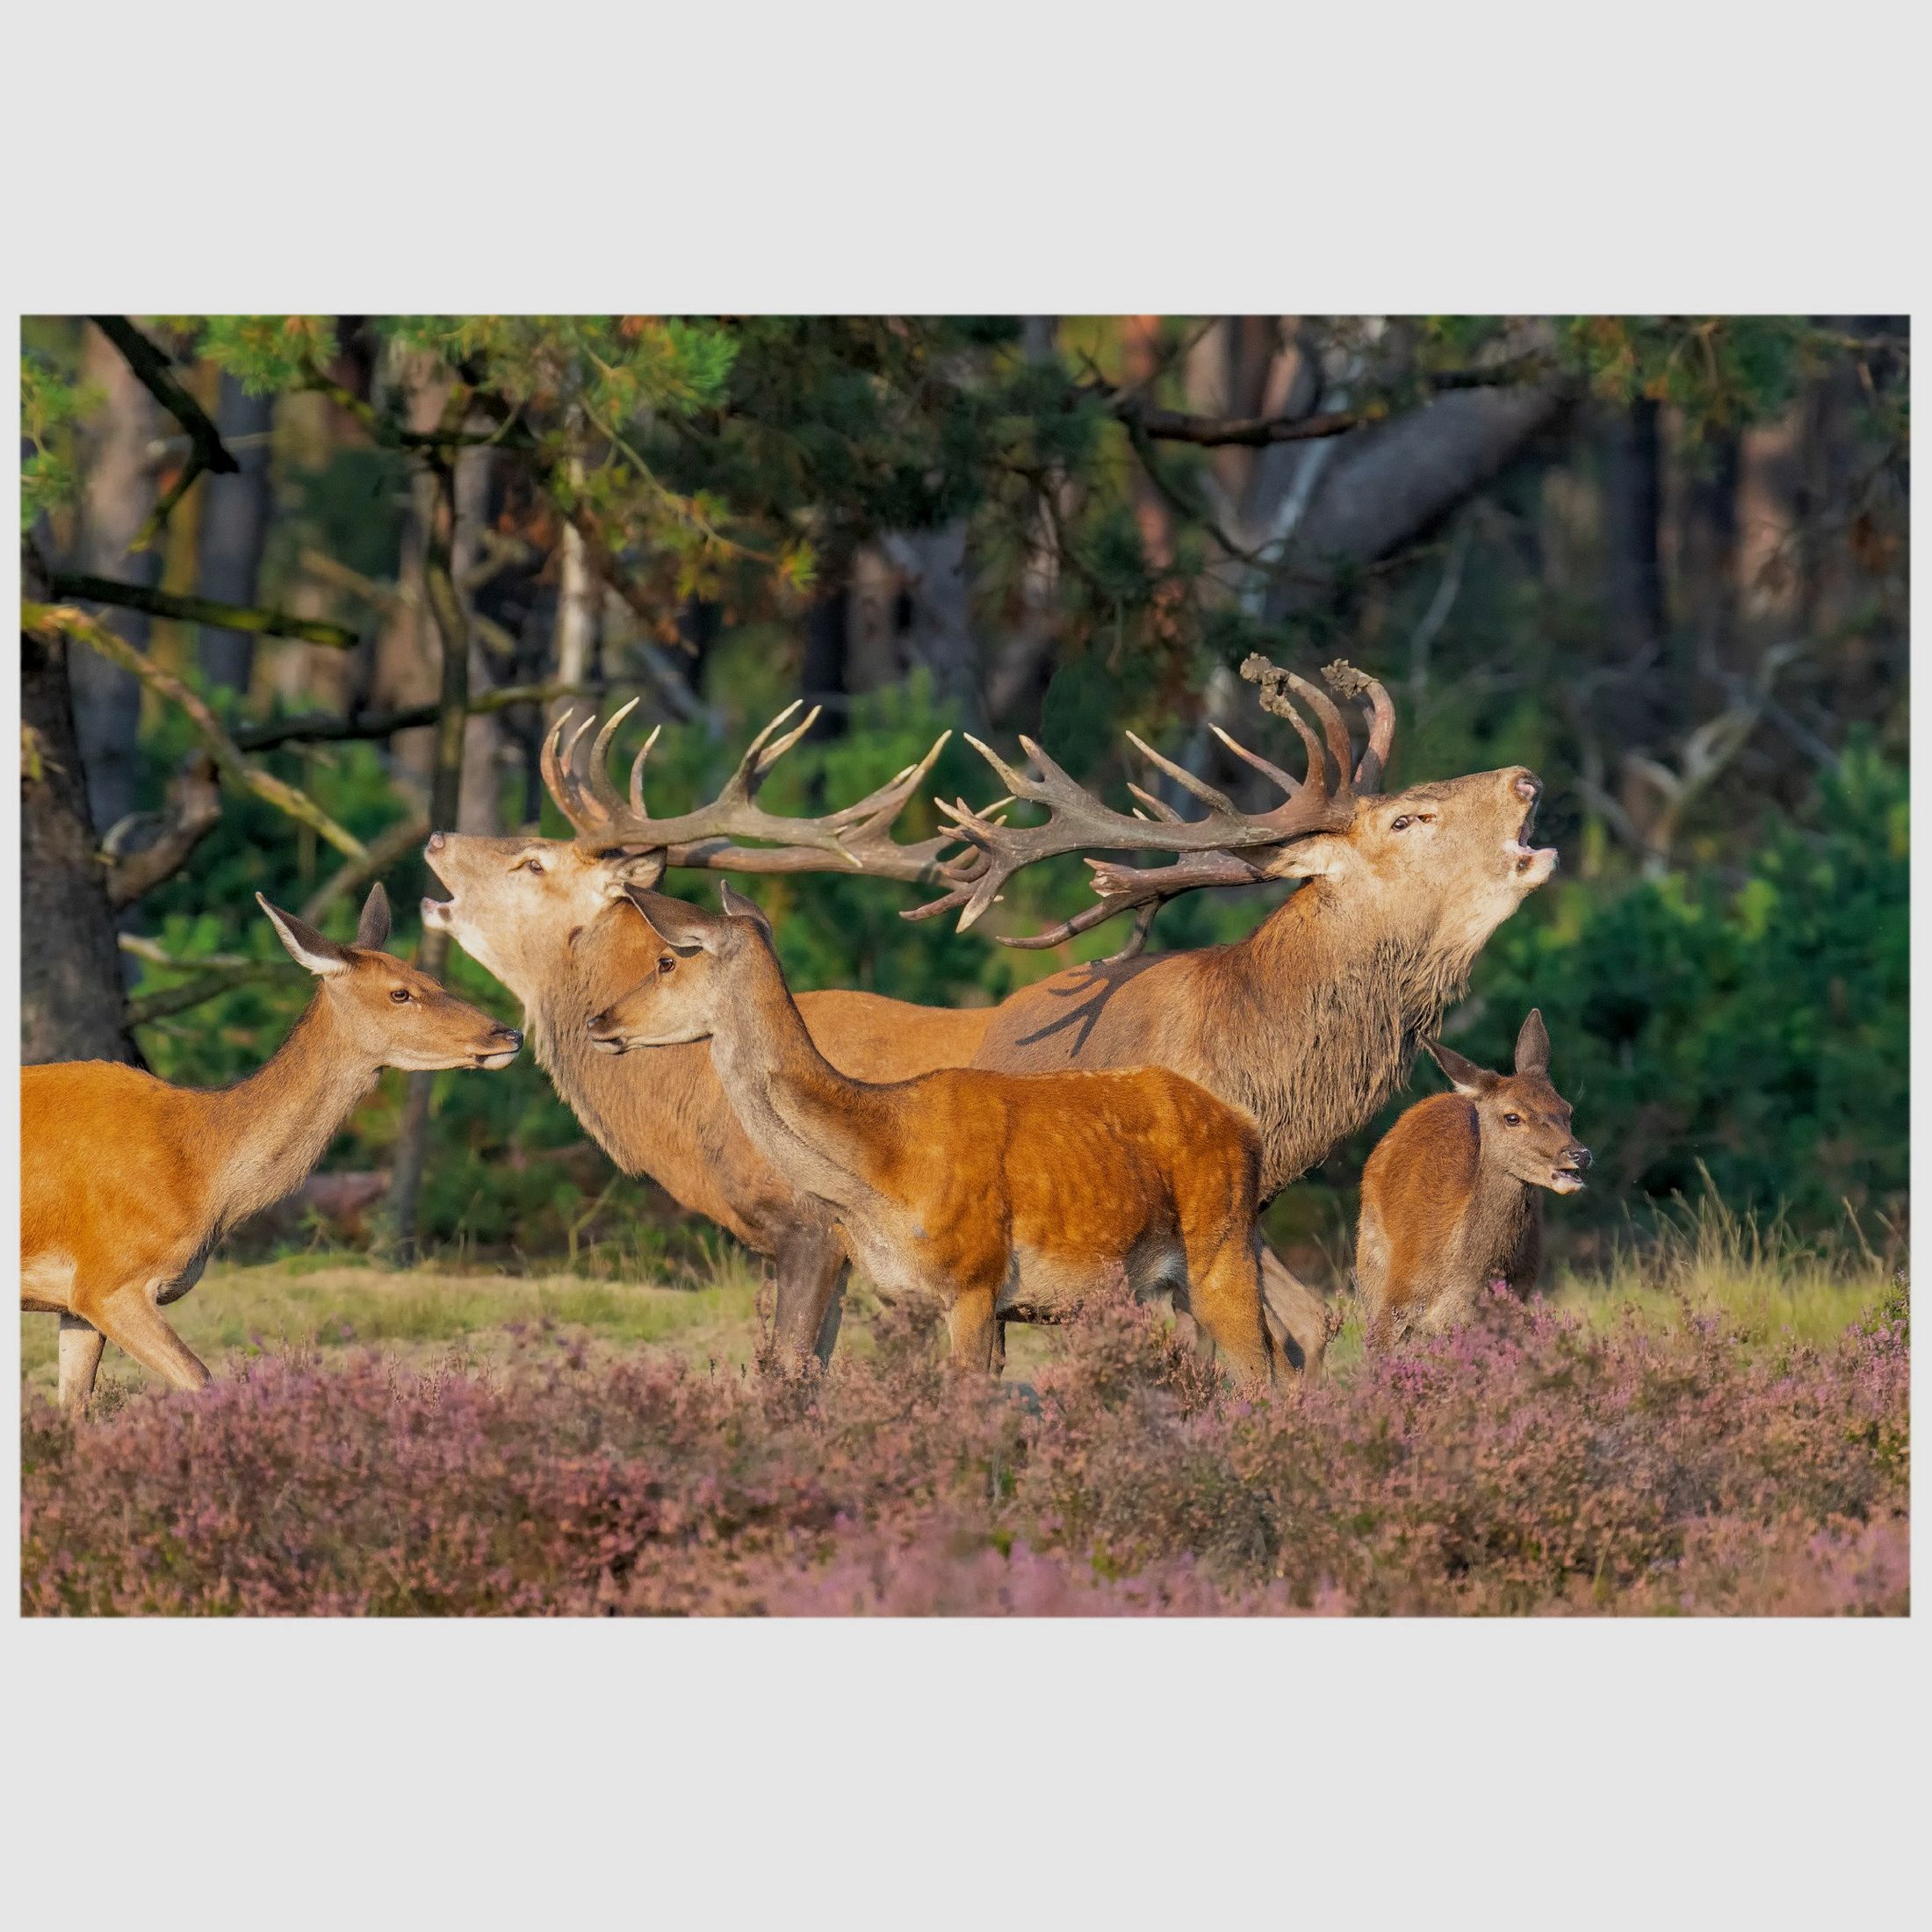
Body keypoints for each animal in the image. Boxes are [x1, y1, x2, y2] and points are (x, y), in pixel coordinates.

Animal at [19, 885, 523, 1418]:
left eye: (431, 976)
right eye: (400, 992)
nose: (508, 1034)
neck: (200, 1170)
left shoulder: (76, 1303)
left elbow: (74, 1408)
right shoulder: (109, 1278)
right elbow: (202, 1379)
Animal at [587, 885, 1279, 1385]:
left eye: (666, 960)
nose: (599, 1020)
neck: (885, 1164)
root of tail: (1246, 1126)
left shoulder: (975, 1279)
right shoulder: (912, 1296)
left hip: (1222, 1250)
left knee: (1266, 1376)